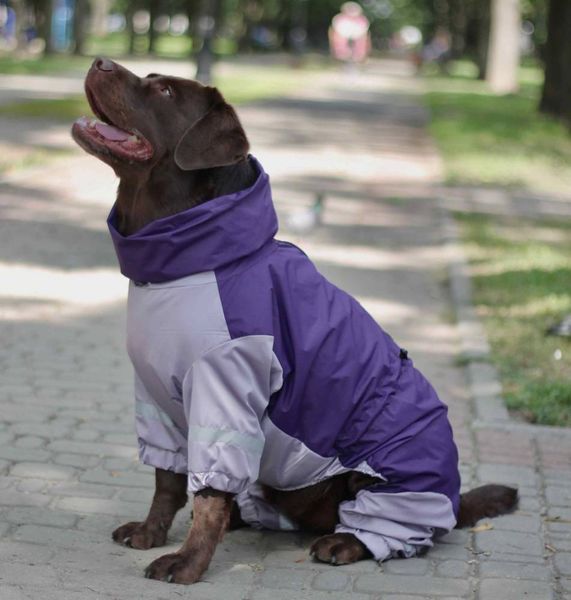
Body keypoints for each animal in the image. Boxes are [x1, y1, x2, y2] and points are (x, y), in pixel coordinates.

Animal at [71, 58, 520, 584]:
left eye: (164, 91)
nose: (99, 60)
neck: (180, 266)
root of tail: (451, 499)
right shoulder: (158, 397)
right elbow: (168, 478)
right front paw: (151, 532)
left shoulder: (225, 392)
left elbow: (208, 495)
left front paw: (188, 562)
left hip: (390, 477)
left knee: (399, 531)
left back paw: (345, 542)